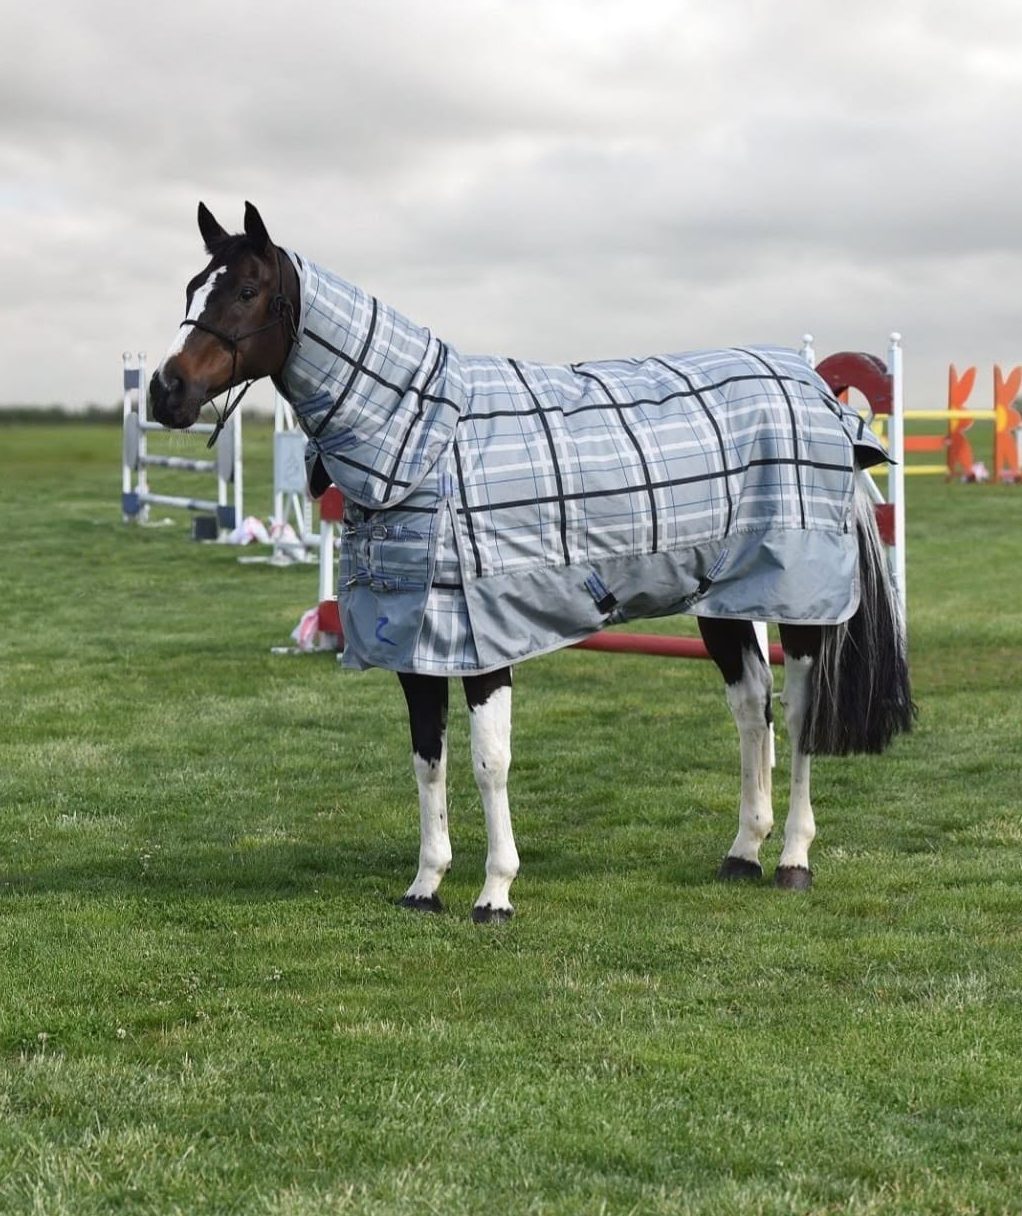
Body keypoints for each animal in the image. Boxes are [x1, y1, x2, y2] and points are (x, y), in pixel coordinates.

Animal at [149, 201, 913, 921]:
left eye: (247, 289)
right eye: (191, 286)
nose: (165, 390)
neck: (425, 441)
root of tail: (814, 387)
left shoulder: (481, 641)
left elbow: (490, 762)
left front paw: (495, 893)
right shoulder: (416, 647)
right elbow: (427, 760)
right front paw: (425, 886)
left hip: (800, 604)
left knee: (800, 714)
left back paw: (792, 859)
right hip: (723, 603)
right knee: (752, 709)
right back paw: (743, 851)